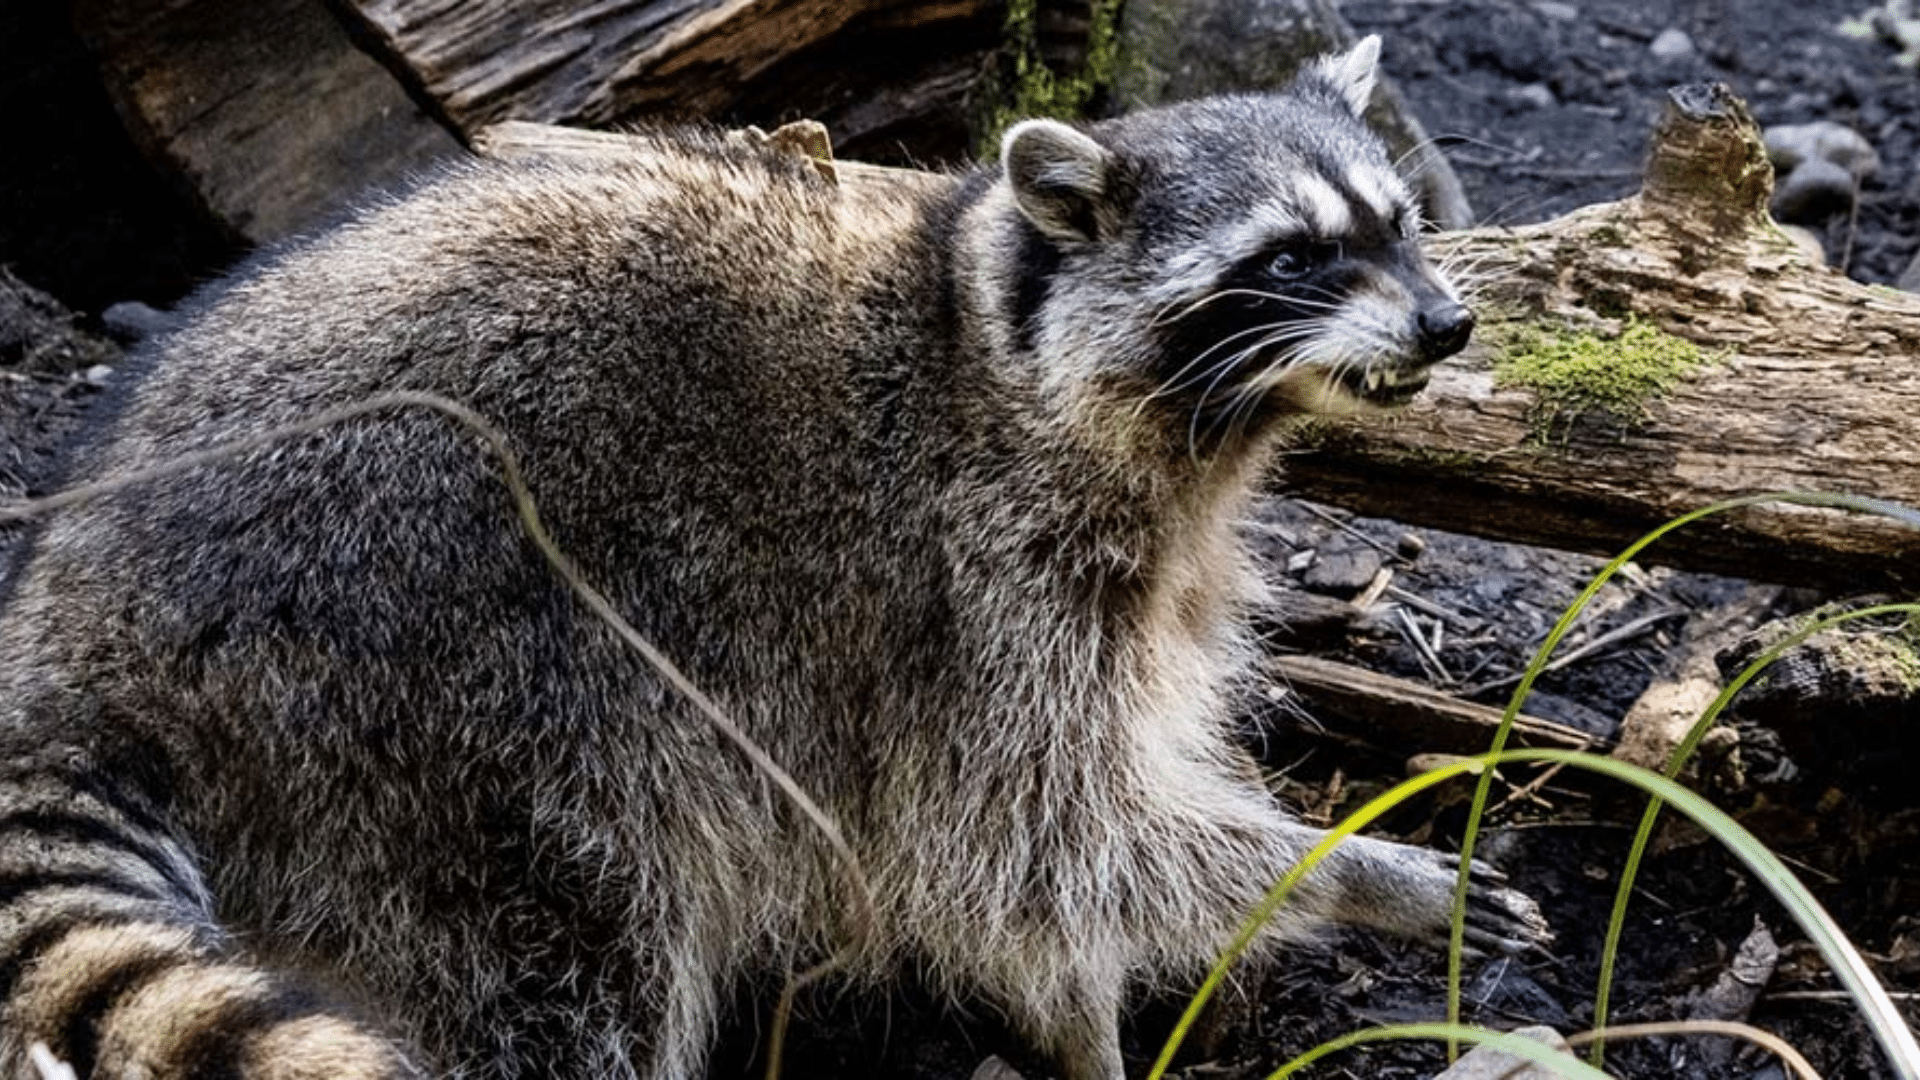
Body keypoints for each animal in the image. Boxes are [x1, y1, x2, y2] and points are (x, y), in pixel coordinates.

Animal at [0, 36, 1541, 1080]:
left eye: (1401, 221)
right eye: (1292, 257)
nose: (1449, 325)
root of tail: (80, 623)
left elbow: (1056, 857)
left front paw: (1082, 1021)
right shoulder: (961, 583)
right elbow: (1030, 836)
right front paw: (1364, 869)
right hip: (428, 678)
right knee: (565, 961)